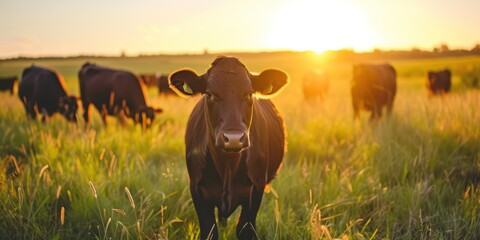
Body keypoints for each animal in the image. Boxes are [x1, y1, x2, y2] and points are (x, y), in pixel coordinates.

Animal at [169, 56, 288, 240]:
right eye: (209, 94)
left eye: (249, 94)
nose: (233, 139)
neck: (227, 166)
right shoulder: (197, 190)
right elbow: (210, 230)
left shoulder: (256, 189)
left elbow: (245, 229)